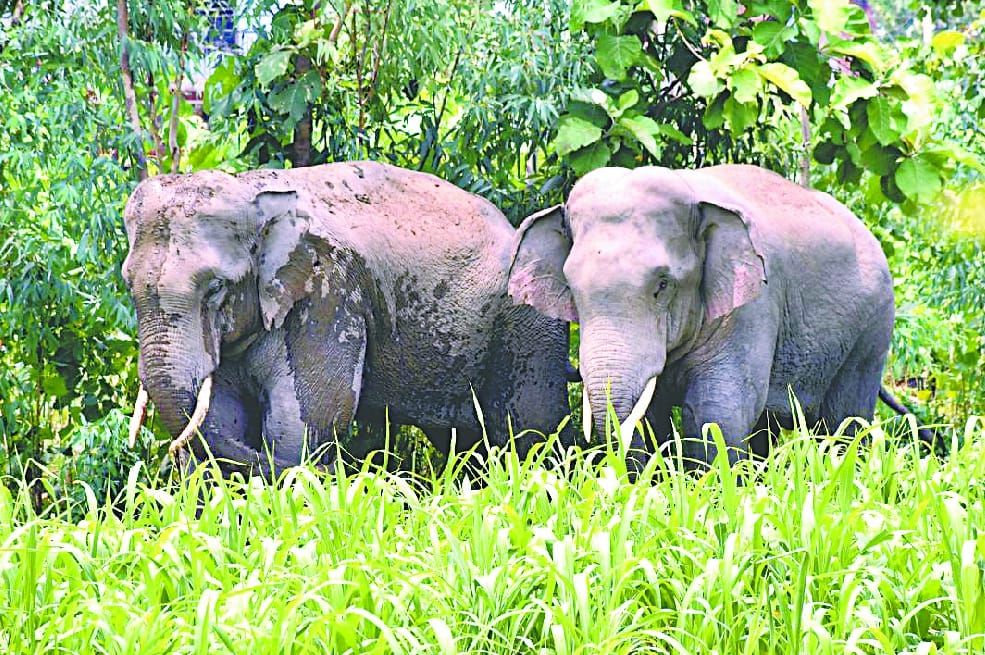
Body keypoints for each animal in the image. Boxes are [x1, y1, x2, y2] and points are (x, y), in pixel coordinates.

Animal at [122, 161, 571, 477]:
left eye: (215, 287)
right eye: (128, 282)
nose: (365, 475)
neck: (253, 190)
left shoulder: (329, 293)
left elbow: (300, 424)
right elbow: (221, 418)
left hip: (526, 323)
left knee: (531, 432)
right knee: (465, 443)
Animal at [509, 163, 898, 471]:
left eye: (662, 284)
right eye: (573, 288)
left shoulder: (754, 306)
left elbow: (720, 412)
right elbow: (653, 414)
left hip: (872, 331)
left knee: (845, 423)